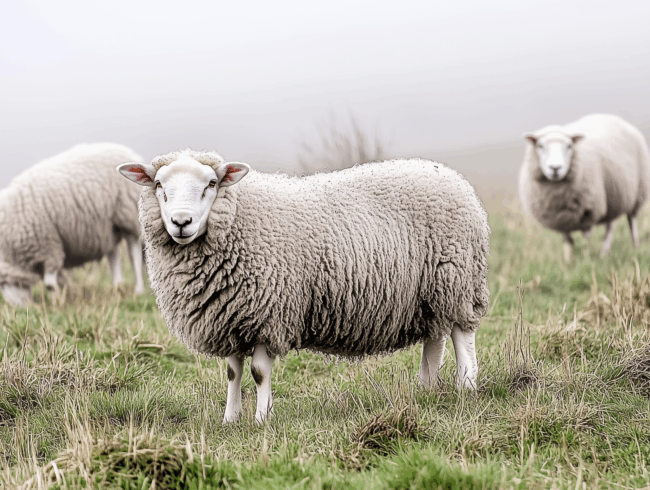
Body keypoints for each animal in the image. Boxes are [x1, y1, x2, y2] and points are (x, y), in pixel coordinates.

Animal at [0, 143, 146, 305]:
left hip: (127, 213)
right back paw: (118, 287)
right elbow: (58, 279)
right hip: (109, 227)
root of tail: (127, 151)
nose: (18, 308)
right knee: (113, 255)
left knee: (134, 253)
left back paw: (138, 290)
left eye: (3, 283)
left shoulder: (49, 245)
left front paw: (57, 303)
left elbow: (49, 283)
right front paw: (67, 295)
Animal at [118, 149, 490, 423]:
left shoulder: (268, 311)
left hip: (457, 278)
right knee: (435, 338)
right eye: (159, 186)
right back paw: (426, 388)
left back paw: (466, 386)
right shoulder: (230, 315)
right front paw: (230, 419)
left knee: (462, 335)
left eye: (211, 183)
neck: (239, 217)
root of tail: (453, 177)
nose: (181, 222)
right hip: (429, 293)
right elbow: (232, 372)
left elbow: (257, 372)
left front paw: (261, 419)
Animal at [519, 114, 650, 264]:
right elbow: (567, 241)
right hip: (615, 197)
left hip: (637, 195)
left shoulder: (589, 212)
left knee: (631, 222)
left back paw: (634, 247)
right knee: (610, 226)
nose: (555, 168)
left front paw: (586, 260)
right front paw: (568, 263)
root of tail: (611, 116)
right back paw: (604, 252)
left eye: (569, 145)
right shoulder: (560, 218)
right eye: (540, 145)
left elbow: (586, 239)